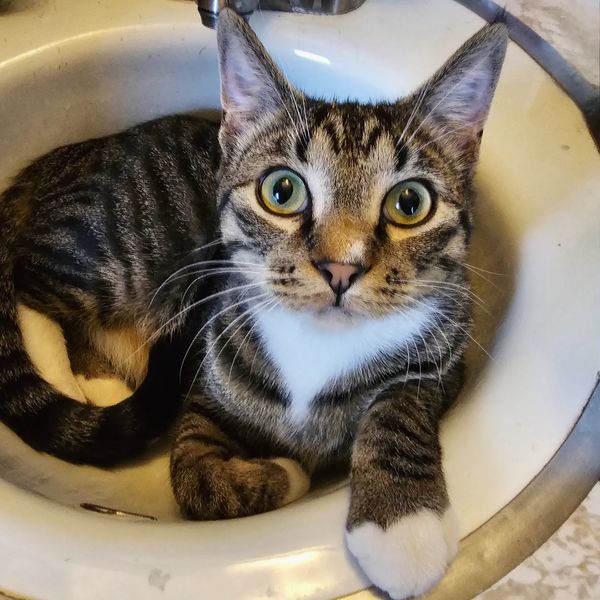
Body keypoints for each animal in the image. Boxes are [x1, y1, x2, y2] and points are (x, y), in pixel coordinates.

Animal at [0, 9, 506, 600]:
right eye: (281, 191)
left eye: (410, 203)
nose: (340, 268)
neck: (318, 346)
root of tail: (66, 159)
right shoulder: (204, 379)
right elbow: (193, 476)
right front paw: (289, 475)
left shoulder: (447, 358)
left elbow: (399, 404)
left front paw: (402, 526)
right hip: (116, 249)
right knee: (27, 281)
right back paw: (69, 375)